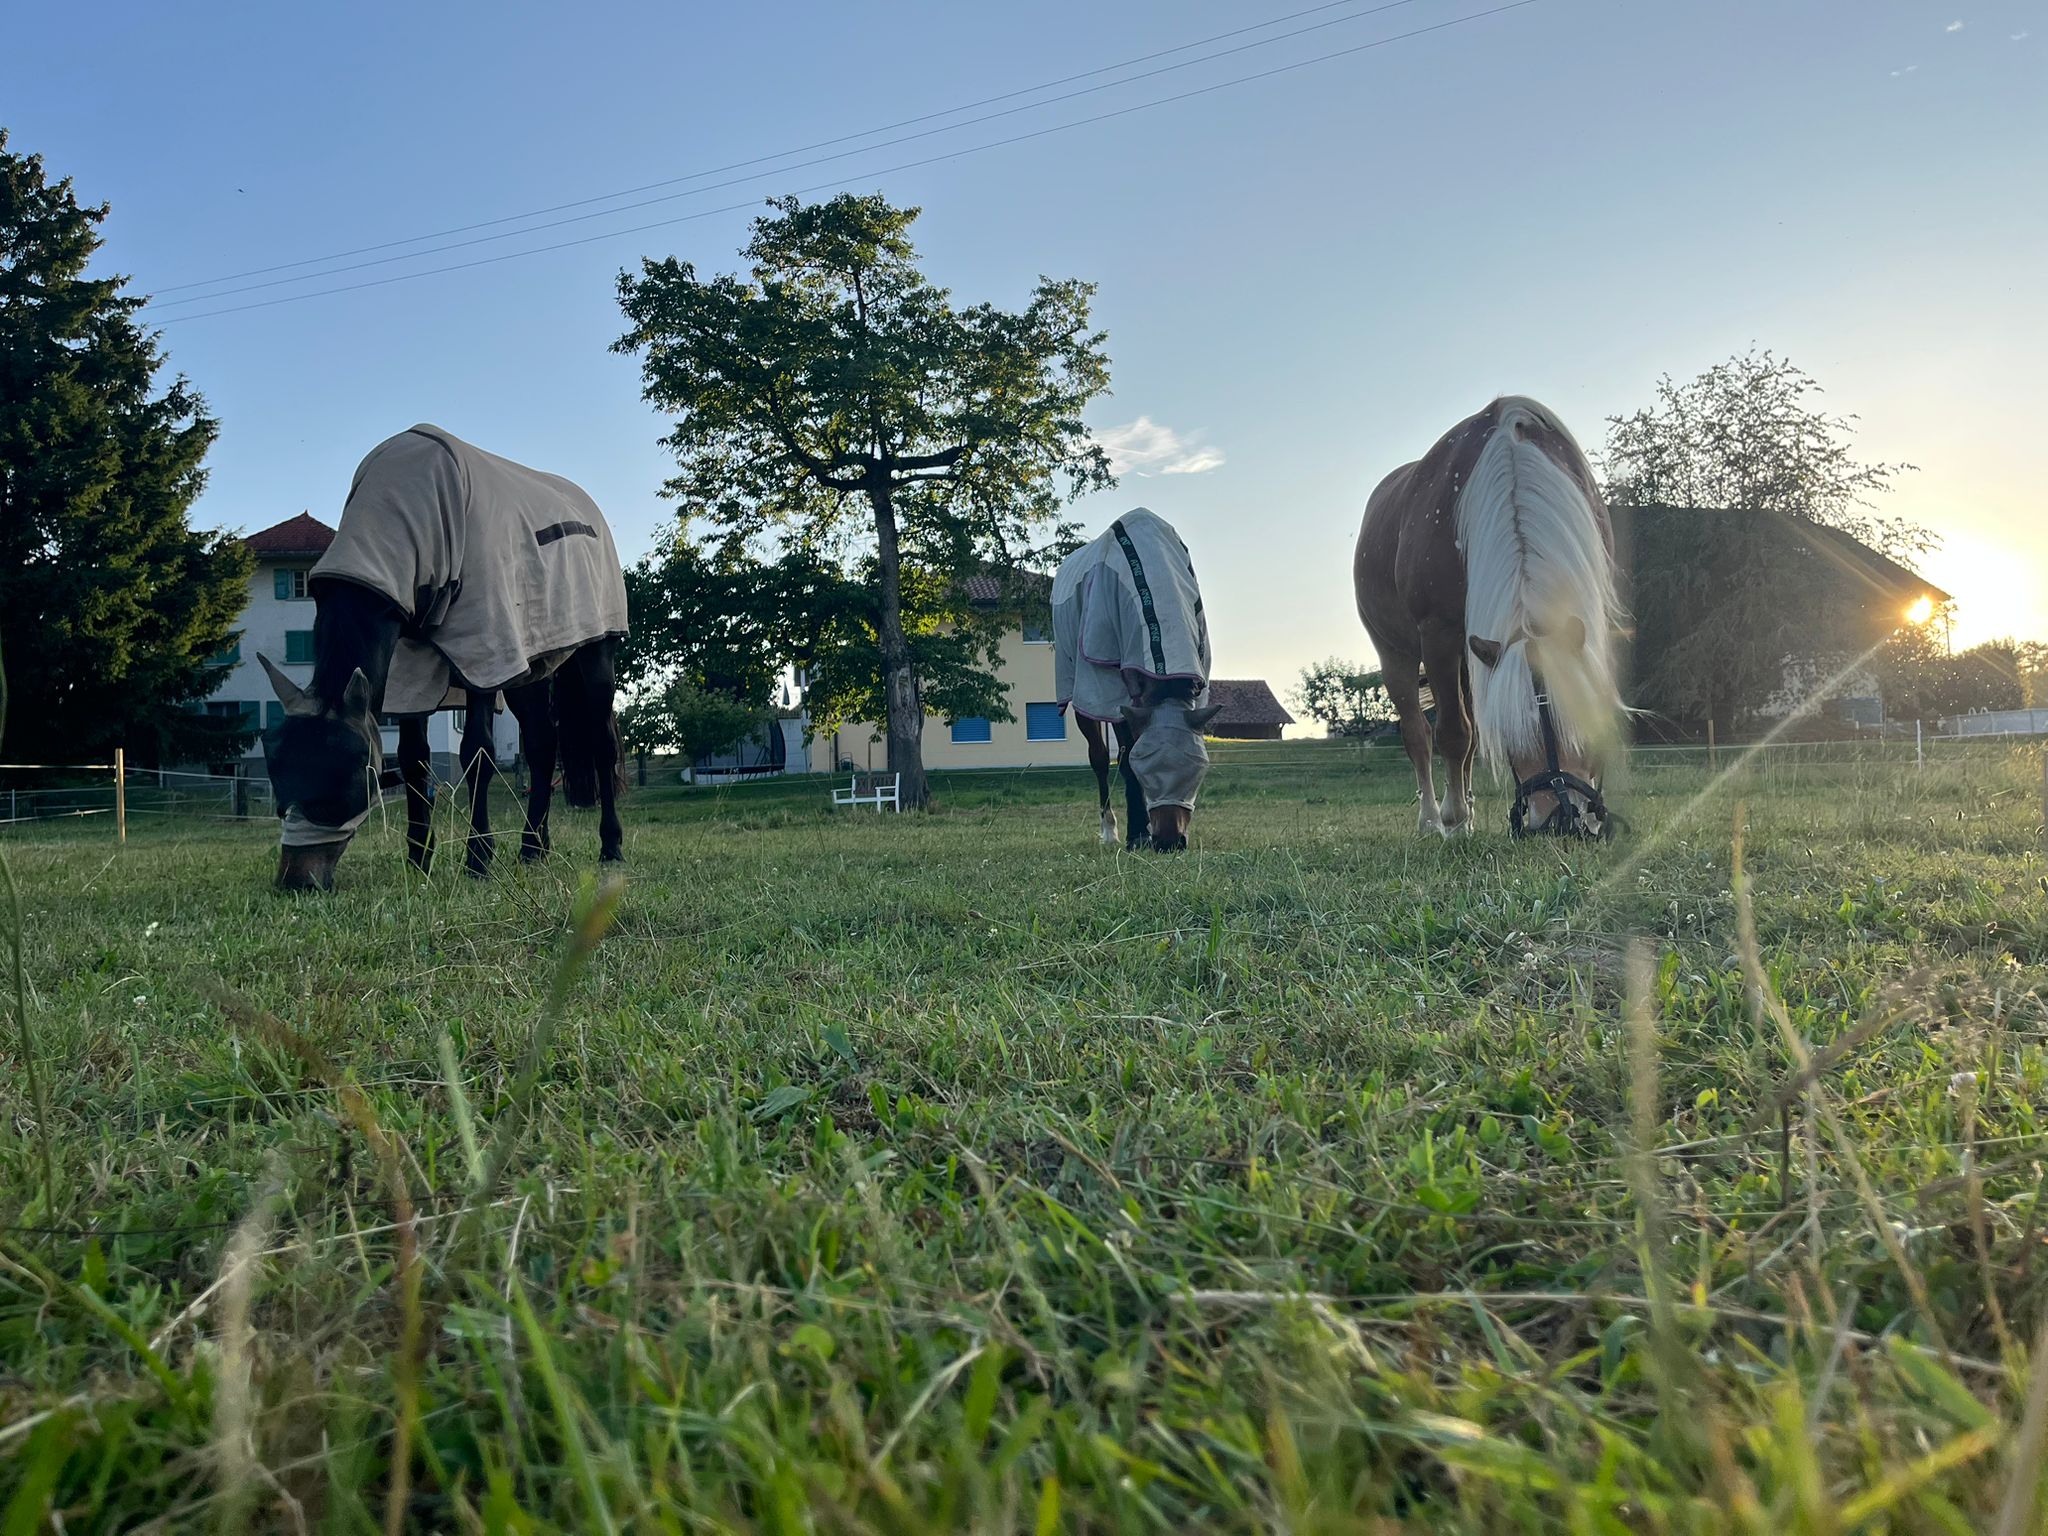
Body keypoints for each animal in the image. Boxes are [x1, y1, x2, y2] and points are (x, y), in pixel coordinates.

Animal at [259, 425, 629, 891]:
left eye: (349, 776)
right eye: (277, 773)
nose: (296, 881)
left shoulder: (486, 649)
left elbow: (477, 752)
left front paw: (478, 858)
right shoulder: (405, 668)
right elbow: (414, 759)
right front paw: (419, 859)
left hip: (594, 654)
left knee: (601, 743)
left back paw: (610, 847)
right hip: (531, 666)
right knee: (542, 744)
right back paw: (533, 847)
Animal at [1052, 509, 1220, 851]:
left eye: (1198, 769)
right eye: (1146, 768)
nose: (1169, 842)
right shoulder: (1110, 690)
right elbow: (1125, 758)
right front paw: (1137, 833)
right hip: (1080, 690)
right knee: (1099, 758)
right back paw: (1110, 830)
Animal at [1353, 397, 1625, 838]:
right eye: (1513, 741)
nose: (1559, 821)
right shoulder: (1439, 635)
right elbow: (1452, 732)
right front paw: (1454, 818)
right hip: (1395, 652)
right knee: (1418, 733)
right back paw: (1434, 819)